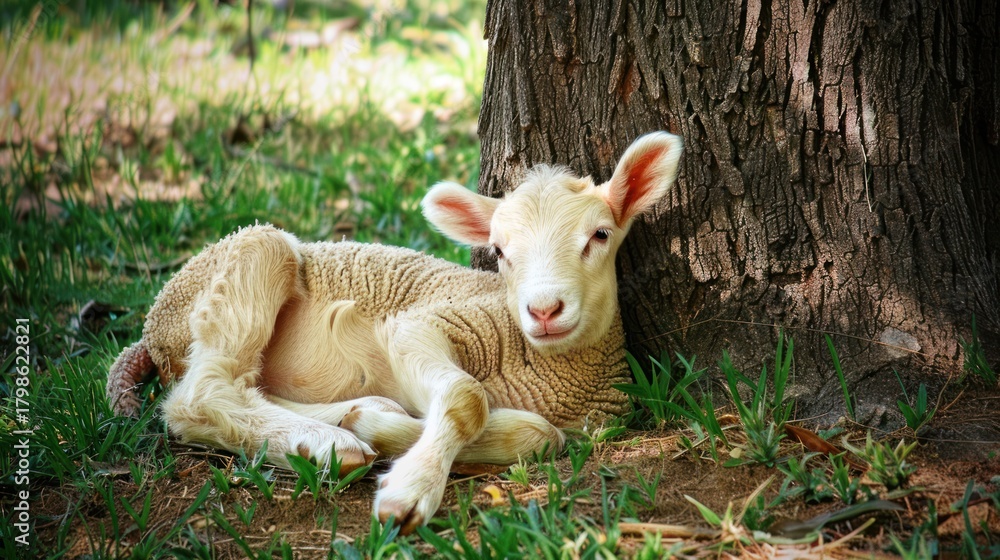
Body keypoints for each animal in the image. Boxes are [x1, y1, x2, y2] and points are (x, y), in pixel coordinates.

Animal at [106, 131, 684, 533]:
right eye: (499, 251)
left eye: (600, 235)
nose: (544, 310)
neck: (548, 365)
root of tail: (152, 328)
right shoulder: (426, 322)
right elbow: (470, 400)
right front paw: (409, 491)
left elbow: (542, 437)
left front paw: (384, 430)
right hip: (246, 260)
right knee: (198, 396)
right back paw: (328, 443)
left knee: (239, 390)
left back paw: (344, 425)